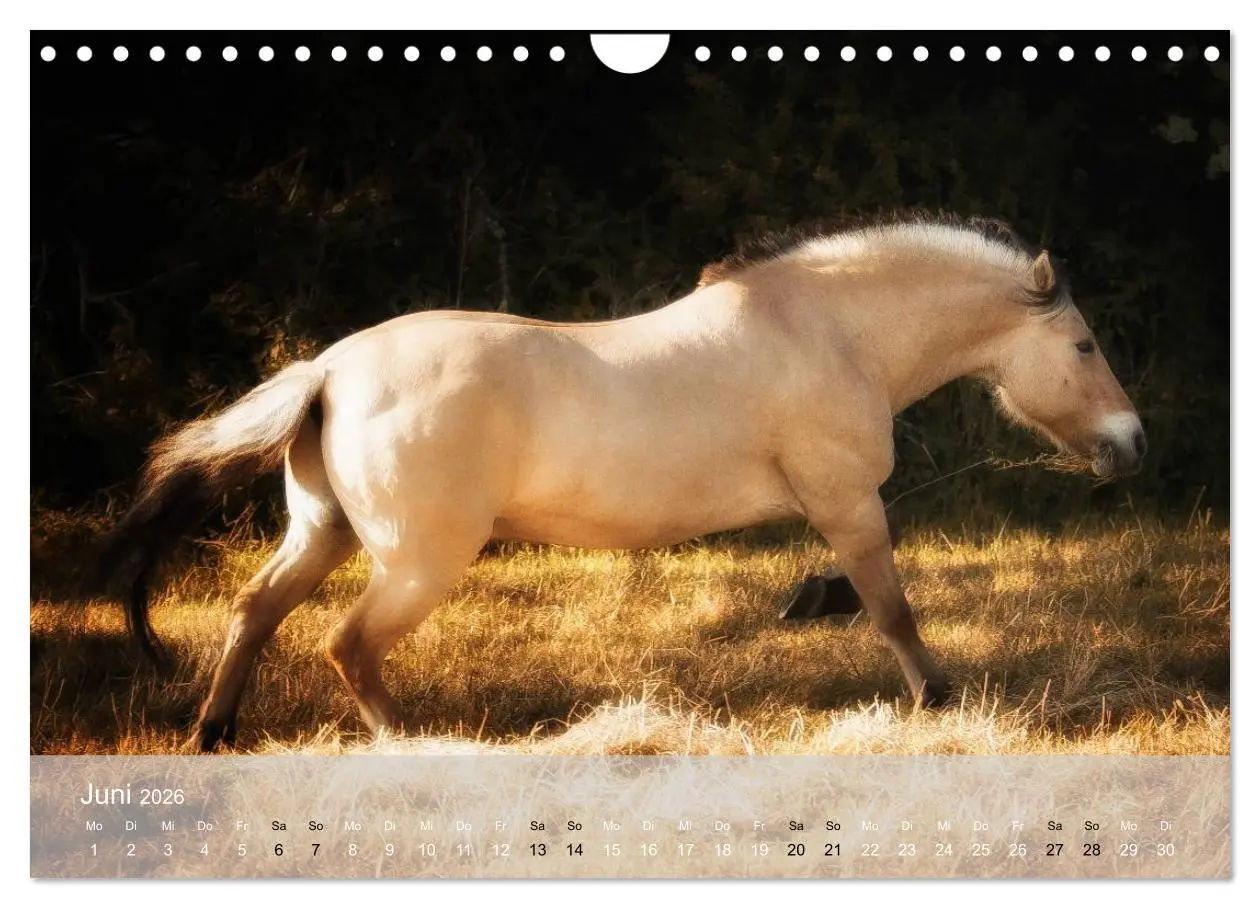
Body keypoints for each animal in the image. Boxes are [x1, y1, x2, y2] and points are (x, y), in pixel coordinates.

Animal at [94, 213, 1145, 751]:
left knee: (254, 612)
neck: (830, 331)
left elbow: (863, 598)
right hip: (418, 563)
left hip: (323, 535)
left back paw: (215, 732)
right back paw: (419, 744)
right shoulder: (848, 505)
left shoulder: (837, 513)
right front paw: (938, 700)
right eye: (1085, 347)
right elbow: (892, 608)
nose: (1131, 444)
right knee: (345, 645)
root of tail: (331, 369)